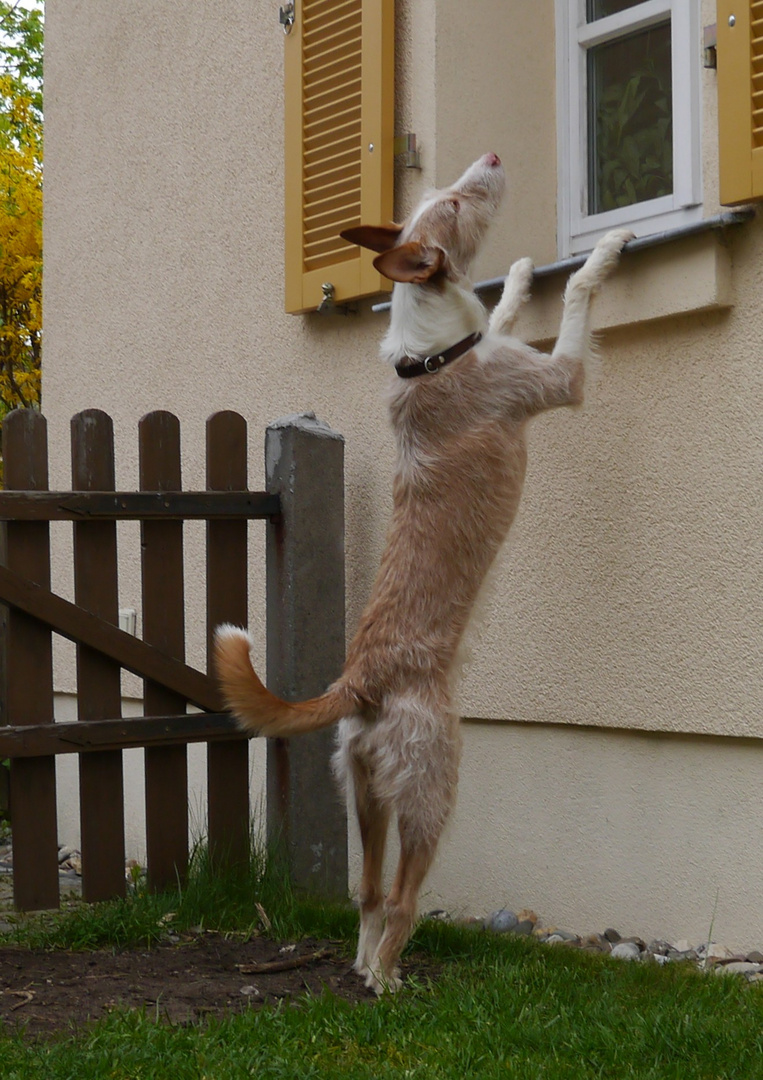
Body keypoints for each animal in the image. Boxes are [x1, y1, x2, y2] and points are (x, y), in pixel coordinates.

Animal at [213, 154, 631, 993]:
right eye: (454, 204)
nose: (493, 160)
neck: (431, 354)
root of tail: (359, 684)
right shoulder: (557, 380)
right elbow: (576, 298)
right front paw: (602, 253)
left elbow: (502, 311)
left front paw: (519, 273)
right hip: (433, 785)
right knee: (403, 896)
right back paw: (388, 980)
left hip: (366, 792)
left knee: (369, 893)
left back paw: (365, 965)